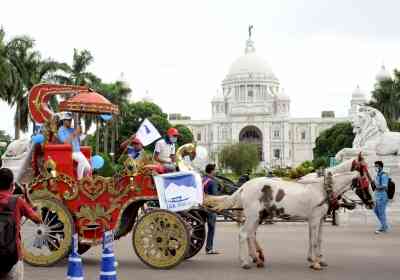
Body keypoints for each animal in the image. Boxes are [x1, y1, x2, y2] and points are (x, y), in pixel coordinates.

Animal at [206, 160, 366, 272]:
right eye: (365, 179)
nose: (368, 200)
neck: (322, 188)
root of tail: (244, 186)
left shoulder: (318, 219)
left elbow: (316, 239)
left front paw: (317, 260)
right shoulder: (315, 219)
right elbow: (314, 241)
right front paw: (315, 263)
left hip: (258, 215)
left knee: (251, 235)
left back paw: (257, 259)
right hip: (252, 215)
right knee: (243, 234)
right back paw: (244, 262)